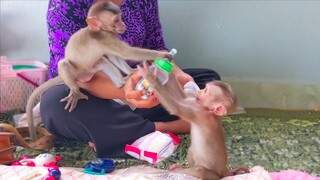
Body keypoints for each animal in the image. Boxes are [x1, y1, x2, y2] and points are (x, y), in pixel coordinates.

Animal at [25, 0, 172, 141]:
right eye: (116, 20)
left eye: (120, 17)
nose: (123, 24)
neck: (99, 30)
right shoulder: (106, 38)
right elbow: (127, 53)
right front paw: (162, 56)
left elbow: (114, 56)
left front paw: (131, 71)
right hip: (77, 72)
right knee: (64, 64)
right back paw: (76, 92)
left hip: (91, 69)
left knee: (103, 61)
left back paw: (122, 82)